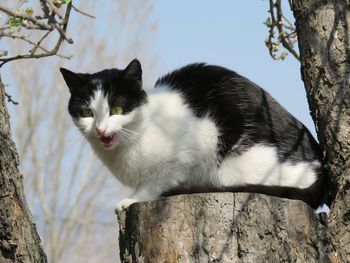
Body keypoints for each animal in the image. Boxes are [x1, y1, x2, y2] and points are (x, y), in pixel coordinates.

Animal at [60, 59, 326, 212]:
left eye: (116, 109)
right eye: (87, 112)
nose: (100, 129)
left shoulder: (191, 147)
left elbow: (156, 181)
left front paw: (133, 199)